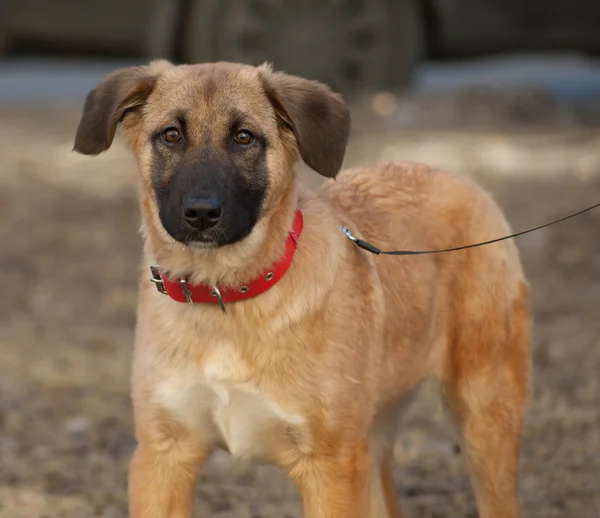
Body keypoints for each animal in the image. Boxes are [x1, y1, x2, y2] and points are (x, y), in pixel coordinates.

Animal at [74, 61, 528, 518]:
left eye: (244, 137)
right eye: (171, 135)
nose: (201, 212)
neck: (227, 295)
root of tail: (452, 174)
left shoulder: (331, 468)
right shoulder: (162, 457)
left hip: (484, 418)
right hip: (374, 436)